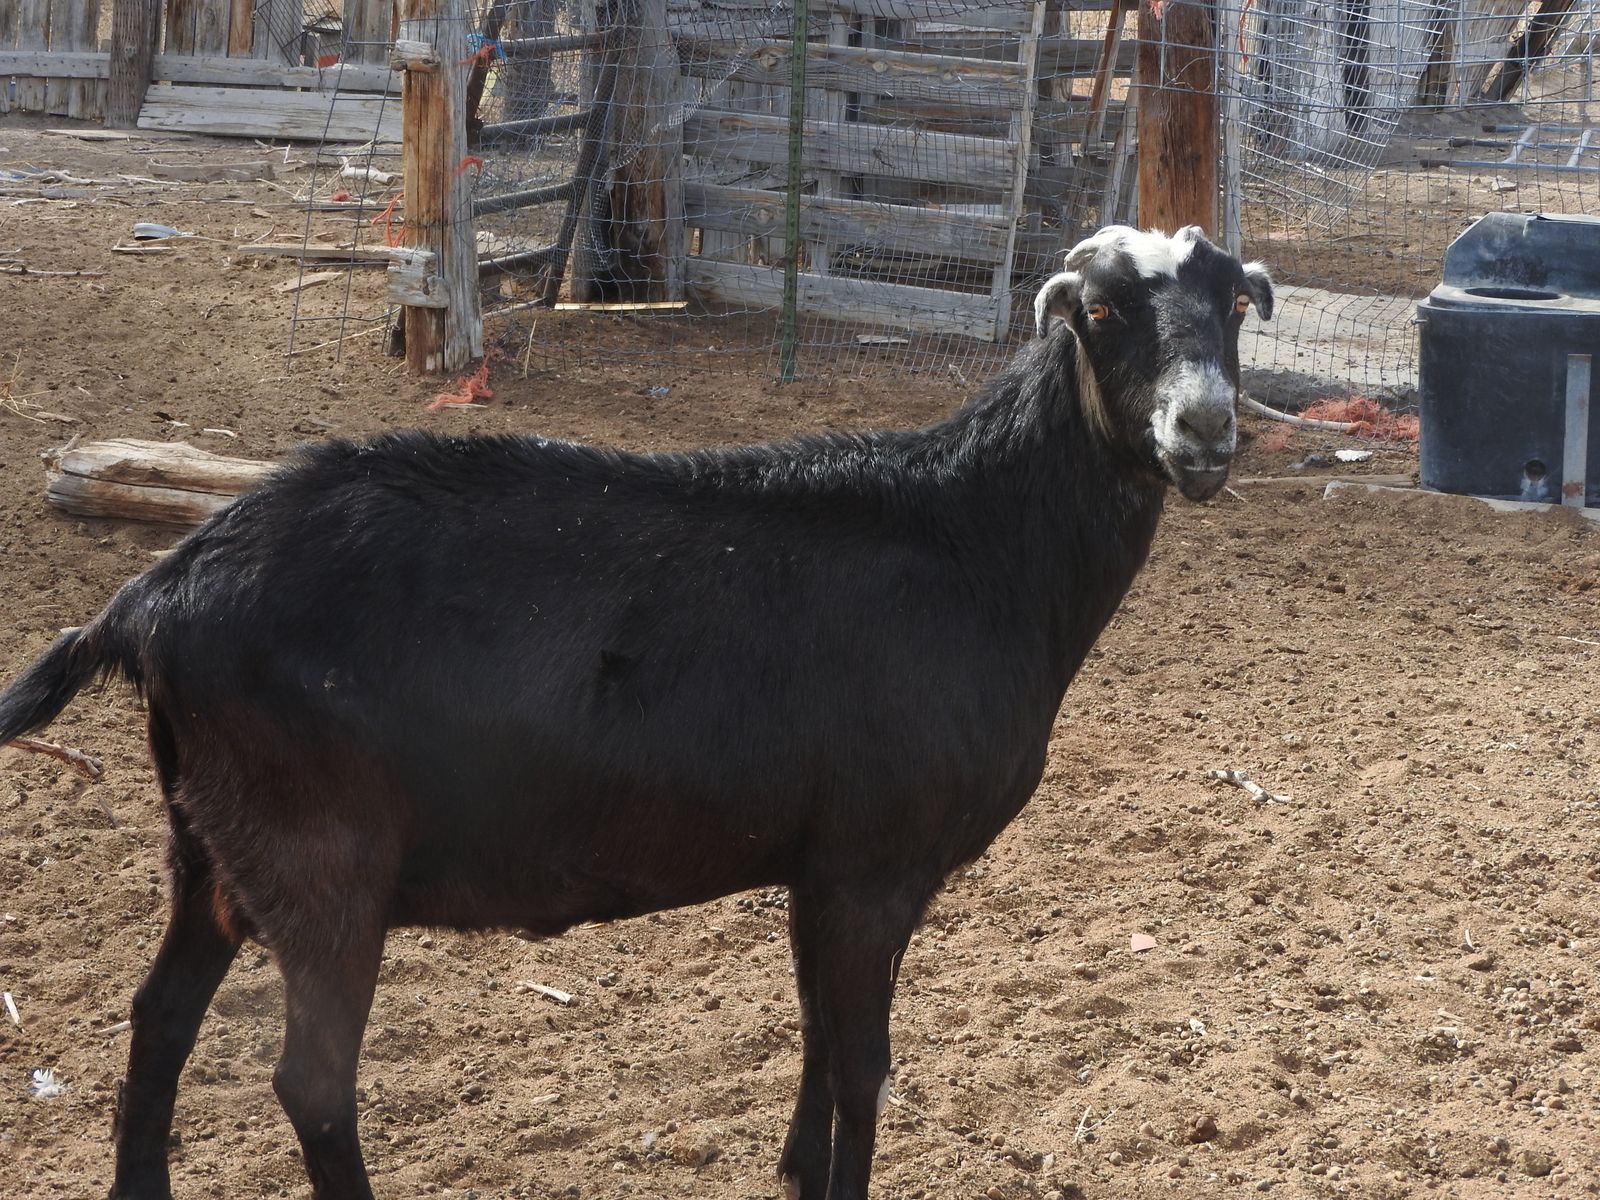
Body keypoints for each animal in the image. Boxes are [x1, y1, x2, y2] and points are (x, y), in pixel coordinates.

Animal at [0, 225, 1271, 1200]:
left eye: (1230, 309)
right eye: (1100, 311)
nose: (1205, 430)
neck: (980, 543)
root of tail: (154, 596)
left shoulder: (817, 867)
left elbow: (818, 1041)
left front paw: (796, 1169)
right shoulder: (875, 863)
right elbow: (864, 1065)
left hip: (210, 839)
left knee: (158, 1020)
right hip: (320, 851)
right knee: (311, 1081)